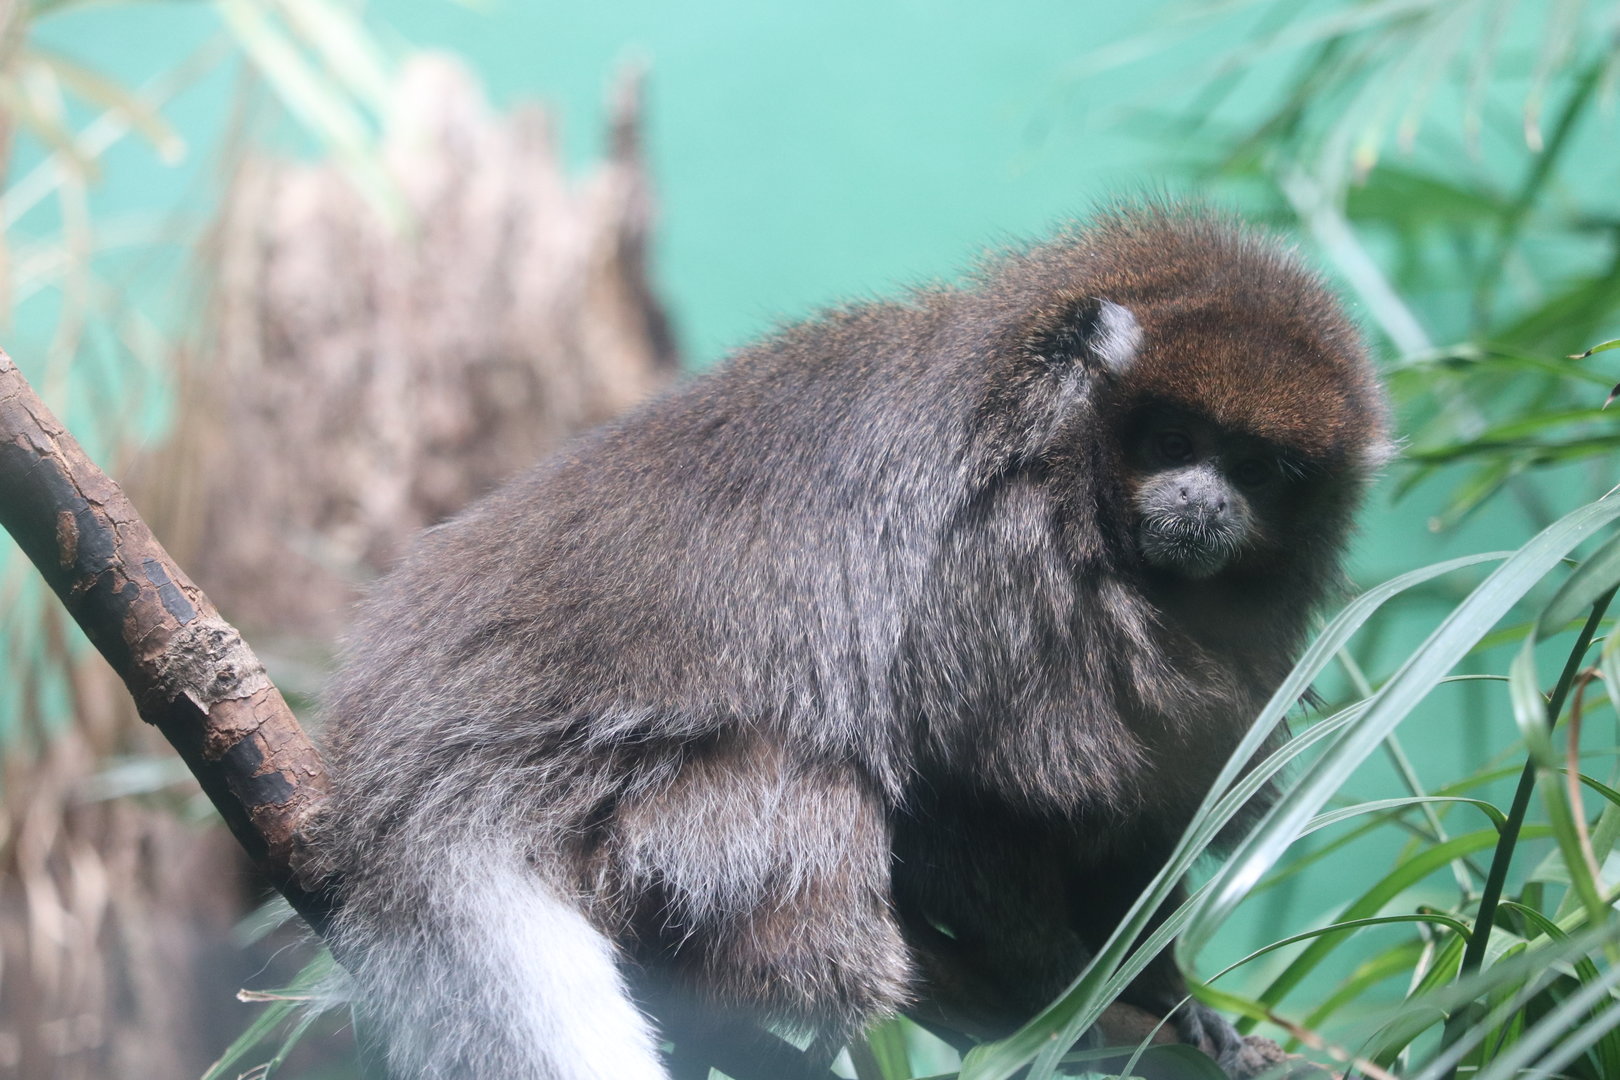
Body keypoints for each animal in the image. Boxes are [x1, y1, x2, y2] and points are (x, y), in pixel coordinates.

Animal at [315, 205, 1390, 1080]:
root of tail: (411, 757)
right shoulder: (1000, 568)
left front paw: (1172, 998)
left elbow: (1147, 814)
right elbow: (960, 792)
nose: (1204, 502)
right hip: (669, 813)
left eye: (1256, 469)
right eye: (1173, 444)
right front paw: (1064, 989)